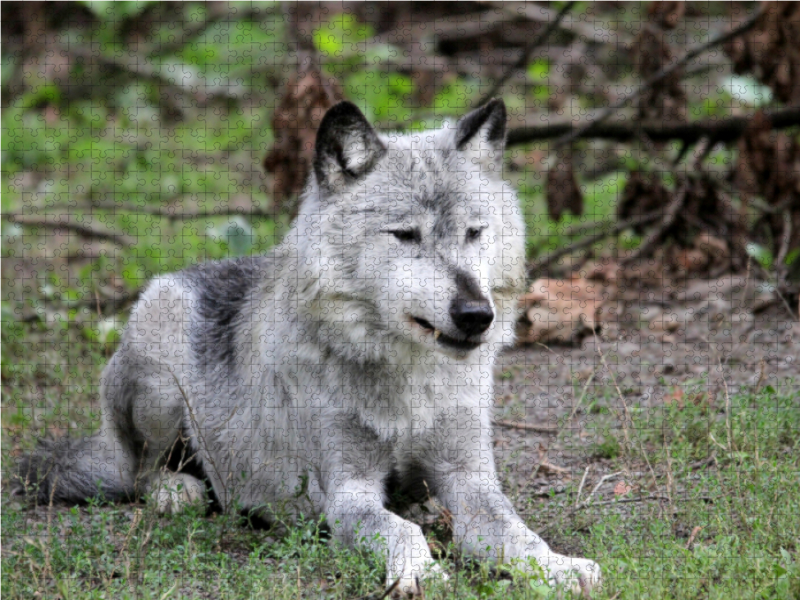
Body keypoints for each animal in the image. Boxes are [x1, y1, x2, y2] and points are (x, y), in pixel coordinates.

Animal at [14, 99, 600, 596]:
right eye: (406, 235)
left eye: (475, 233)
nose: (477, 315)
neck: (408, 380)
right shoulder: (346, 492)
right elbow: (396, 530)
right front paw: (419, 572)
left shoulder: (469, 479)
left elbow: (516, 531)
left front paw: (559, 568)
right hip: (162, 372)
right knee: (142, 471)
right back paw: (177, 492)